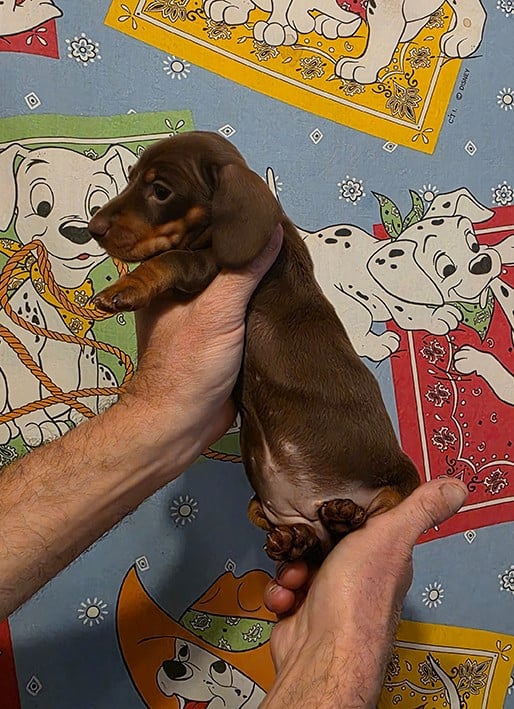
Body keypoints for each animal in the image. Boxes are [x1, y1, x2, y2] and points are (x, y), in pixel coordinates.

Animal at [0, 142, 136, 448]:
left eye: (97, 207)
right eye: (42, 206)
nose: (78, 230)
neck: (66, 293)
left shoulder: (88, 353)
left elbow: (84, 389)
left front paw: (85, 416)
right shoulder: (20, 352)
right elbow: (28, 391)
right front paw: (37, 426)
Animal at [88, 131, 419, 562]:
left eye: (161, 191)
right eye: (129, 178)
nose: (91, 227)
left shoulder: (209, 264)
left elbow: (172, 259)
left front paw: (125, 288)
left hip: (401, 481)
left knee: (373, 512)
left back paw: (345, 516)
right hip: (264, 506)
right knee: (295, 530)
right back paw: (298, 539)